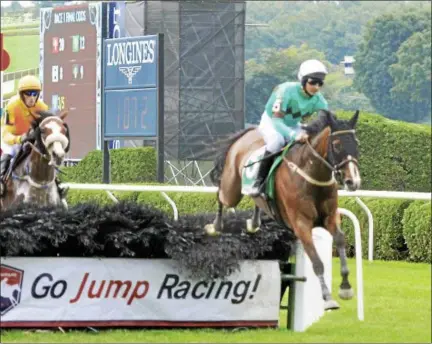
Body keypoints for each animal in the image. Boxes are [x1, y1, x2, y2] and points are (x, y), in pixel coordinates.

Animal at [206, 110, 362, 310]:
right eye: (337, 144)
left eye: (356, 144)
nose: (353, 181)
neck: (311, 176)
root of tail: (246, 133)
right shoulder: (301, 224)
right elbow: (317, 262)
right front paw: (327, 298)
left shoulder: (330, 217)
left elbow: (340, 239)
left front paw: (345, 287)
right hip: (231, 189)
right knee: (221, 196)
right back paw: (215, 226)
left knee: (255, 202)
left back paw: (253, 223)